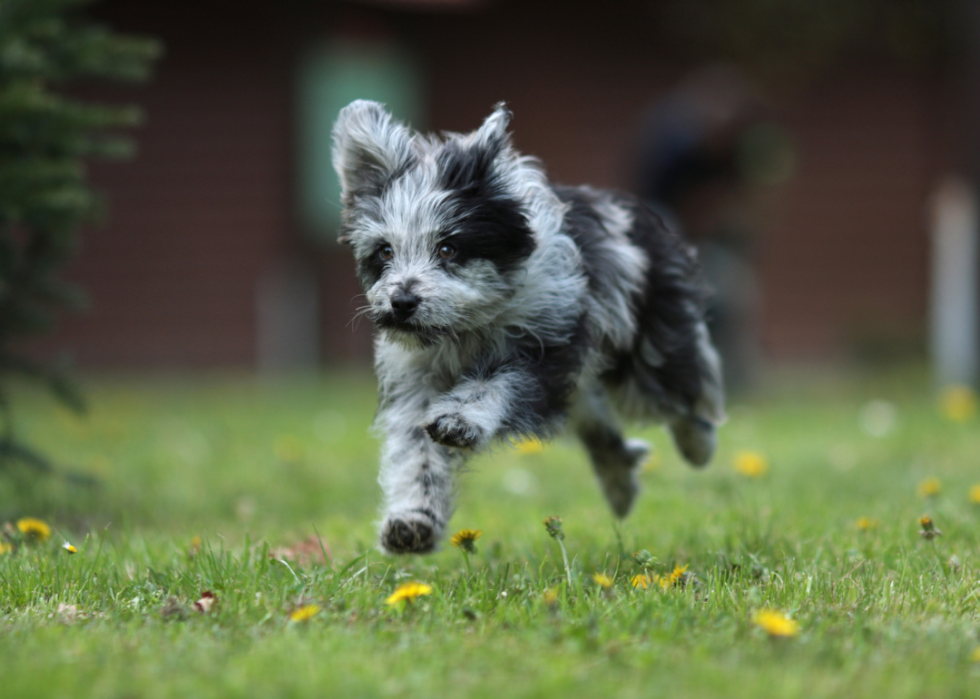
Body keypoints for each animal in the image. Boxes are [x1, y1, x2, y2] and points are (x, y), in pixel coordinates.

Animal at [334, 101, 724, 556]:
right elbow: (417, 452)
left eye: (448, 248)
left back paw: (698, 445)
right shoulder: (415, 379)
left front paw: (460, 419)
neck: (464, 330)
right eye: (385, 251)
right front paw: (413, 521)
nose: (402, 303)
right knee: (598, 425)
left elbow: (494, 386)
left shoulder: (544, 343)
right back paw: (620, 482)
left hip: (648, 347)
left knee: (678, 389)